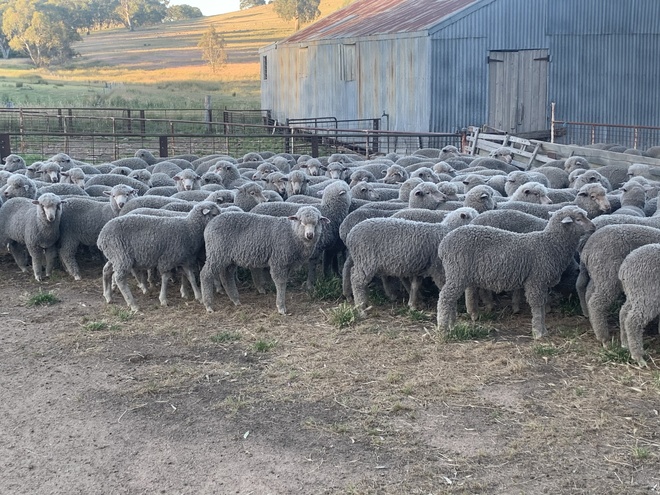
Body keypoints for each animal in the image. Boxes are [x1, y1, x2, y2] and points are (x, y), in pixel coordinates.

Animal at [200, 205, 329, 315]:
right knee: (205, 274)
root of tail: (209, 225)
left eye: (317, 222)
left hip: (227, 257)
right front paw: (281, 307)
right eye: (301, 221)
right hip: (216, 252)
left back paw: (235, 299)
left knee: (227, 275)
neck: (292, 233)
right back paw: (208, 305)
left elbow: (284, 281)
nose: (310, 235)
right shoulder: (279, 261)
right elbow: (280, 282)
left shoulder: (287, 264)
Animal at [346, 207, 478, 310]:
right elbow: (442, 285)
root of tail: (350, 235)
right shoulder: (437, 267)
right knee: (356, 280)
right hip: (366, 260)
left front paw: (412, 304)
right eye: (474, 217)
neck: (446, 230)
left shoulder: (421, 266)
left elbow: (415, 285)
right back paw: (361, 307)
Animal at [437, 205, 595, 338]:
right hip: (458, 272)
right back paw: (443, 328)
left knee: (452, 298)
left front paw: (543, 330)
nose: (594, 227)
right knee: (445, 297)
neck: (550, 244)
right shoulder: (536, 280)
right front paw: (538, 332)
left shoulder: (541, 283)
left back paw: (452, 324)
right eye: (579, 219)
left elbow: (542, 305)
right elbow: (537, 306)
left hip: (460, 274)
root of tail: (443, 244)